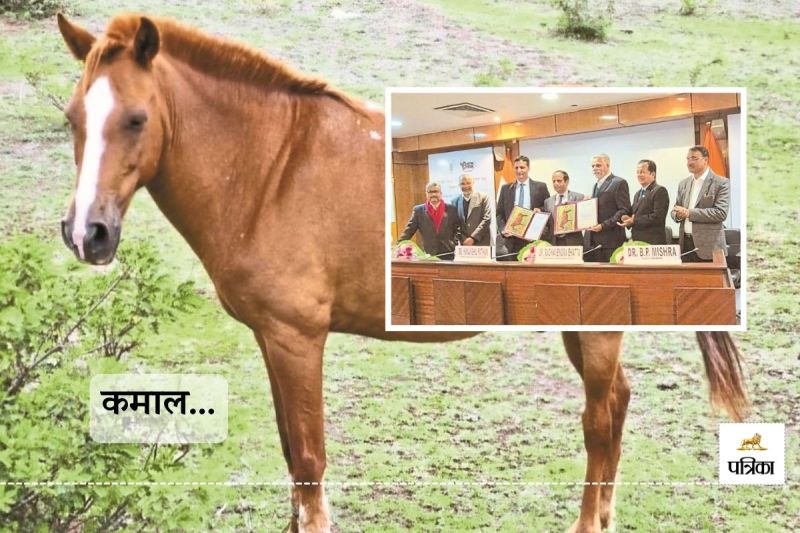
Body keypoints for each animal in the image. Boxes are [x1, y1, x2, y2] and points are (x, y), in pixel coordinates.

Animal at [56, 13, 748, 533]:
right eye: (73, 119)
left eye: (137, 119)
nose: (86, 232)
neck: (272, 170)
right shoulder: (272, 339)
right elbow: (290, 454)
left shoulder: (297, 339)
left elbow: (309, 459)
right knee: (617, 406)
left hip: (596, 329)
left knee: (599, 425)